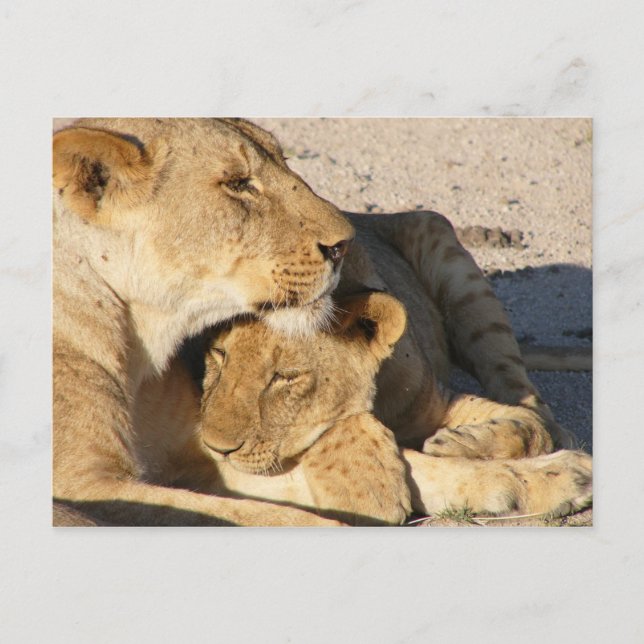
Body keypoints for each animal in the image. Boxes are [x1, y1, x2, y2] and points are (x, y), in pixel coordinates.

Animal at [53, 118, 355, 526]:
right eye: (238, 184)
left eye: (286, 159)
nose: (344, 245)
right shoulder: (84, 484)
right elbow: (252, 516)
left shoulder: (196, 445)